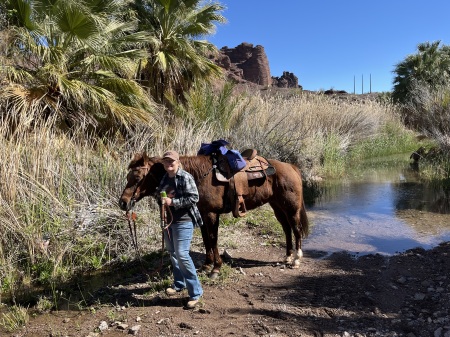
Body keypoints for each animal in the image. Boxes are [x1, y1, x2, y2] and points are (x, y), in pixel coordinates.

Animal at [118, 153, 310, 278]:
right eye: (128, 177)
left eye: (137, 178)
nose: (123, 203)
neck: (198, 177)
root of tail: (291, 167)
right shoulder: (203, 213)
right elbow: (206, 240)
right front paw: (207, 264)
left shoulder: (211, 214)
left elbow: (212, 238)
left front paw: (216, 268)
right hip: (277, 206)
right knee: (286, 228)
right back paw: (287, 256)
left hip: (291, 207)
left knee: (296, 228)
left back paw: (296, 259)